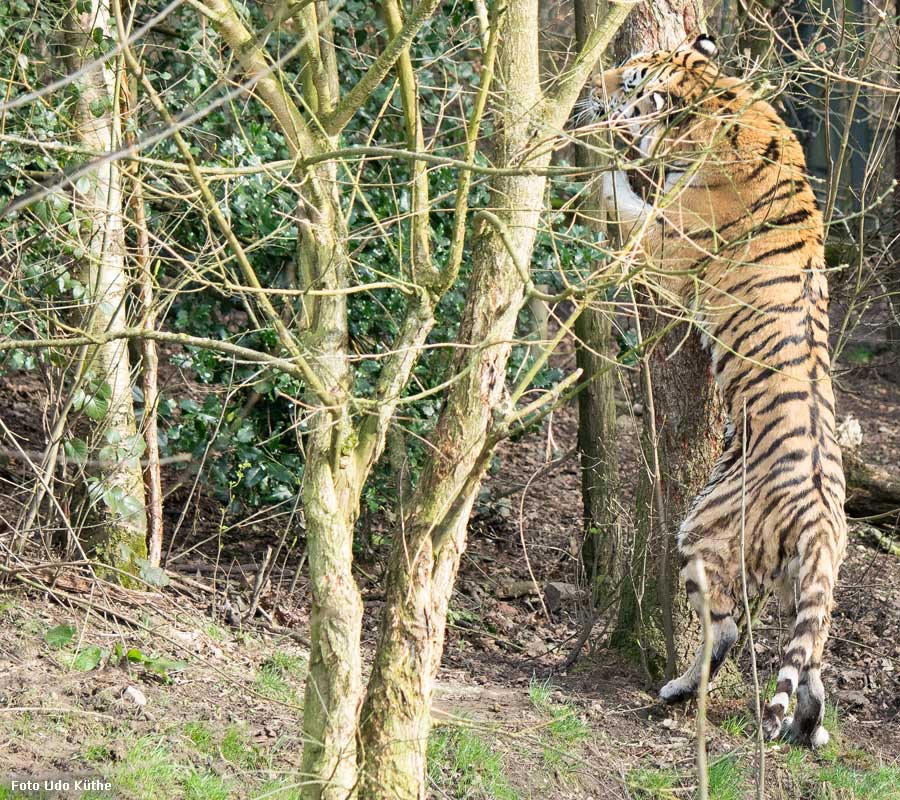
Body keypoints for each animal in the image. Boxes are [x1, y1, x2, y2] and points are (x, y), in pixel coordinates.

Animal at [580, 36, 848, 752]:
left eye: (631, 80)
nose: (593, 83)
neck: (721, 99)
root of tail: (822, 524)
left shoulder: (658, 241)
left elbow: (618, 196)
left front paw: (592, 148)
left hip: (702, 530)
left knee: (725, 629)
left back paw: (676, 690)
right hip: (799, 584)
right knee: (810, 659)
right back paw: (809, 731)